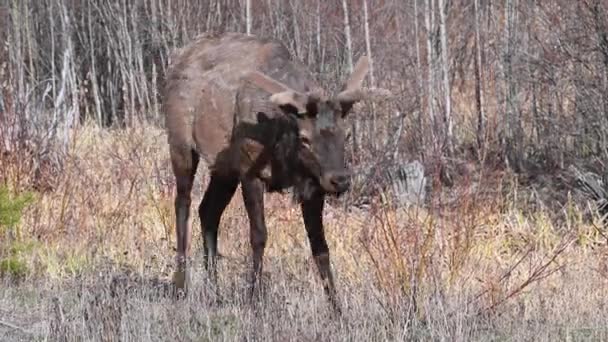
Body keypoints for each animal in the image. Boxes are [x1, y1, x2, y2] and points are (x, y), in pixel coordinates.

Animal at [162, 32, 390, 312]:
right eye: (305, 138)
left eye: (346, 135)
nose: (340, 179)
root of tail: (175, 59)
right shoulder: (250, 172)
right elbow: (259, 235)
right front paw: (253, 299)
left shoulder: (312, 185)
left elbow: (320, 246)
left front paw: (336, 309)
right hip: (181, 144)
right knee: (182, 203)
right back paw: (180, 284)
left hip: (224, 169)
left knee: (208, 211)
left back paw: (214, 290)